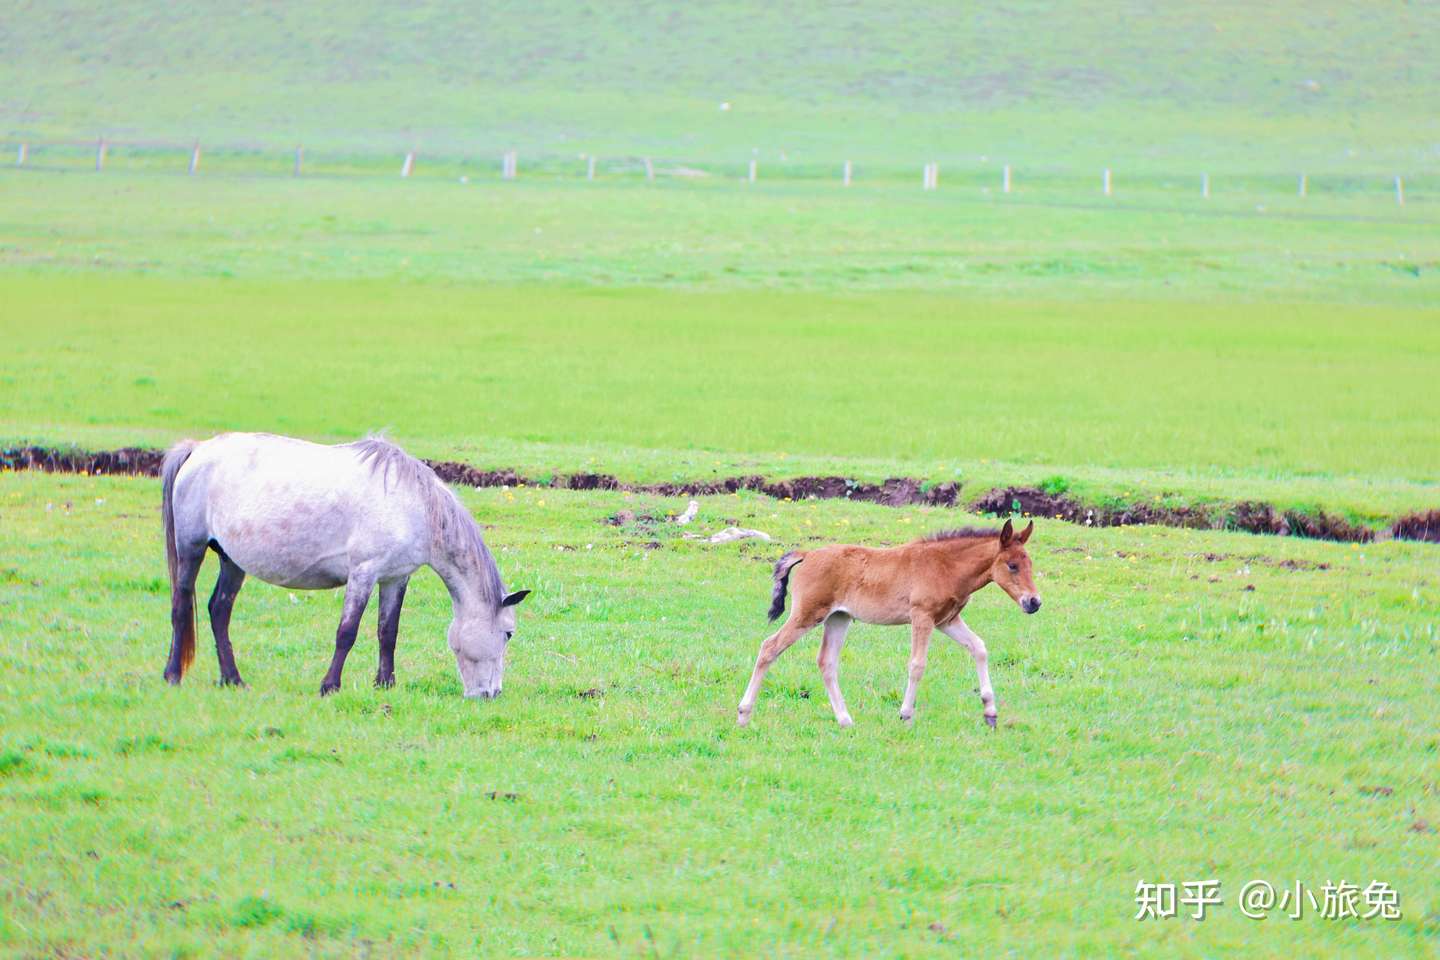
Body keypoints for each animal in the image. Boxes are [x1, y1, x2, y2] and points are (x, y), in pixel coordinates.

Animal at [160, 434, 529, 699]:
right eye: (508, 633)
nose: (492, 693)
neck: (415, 505)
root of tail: (197, 450)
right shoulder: (363, 573)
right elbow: (347, 632)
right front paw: (330, 686)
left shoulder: (395, 578)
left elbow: (388, 632)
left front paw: (385, 684)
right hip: (191, 548)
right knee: (181, 605)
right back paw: (173, 676)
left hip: (232, 560)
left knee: (219, 611)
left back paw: (232, 679)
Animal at [737, 518, 1042, 728]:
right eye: (1012, 565)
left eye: (1030, 564)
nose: (1034, 602)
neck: (945, 565)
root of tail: (807, 554)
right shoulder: (922, 617)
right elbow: (917, 665)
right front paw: (905, 715)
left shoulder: (947, 620)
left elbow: (979, 648)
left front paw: (990, 712)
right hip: (807, 614)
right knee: (769, 647)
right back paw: (743, 715)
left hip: (838, 618)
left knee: (826, 662)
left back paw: (845, 720)